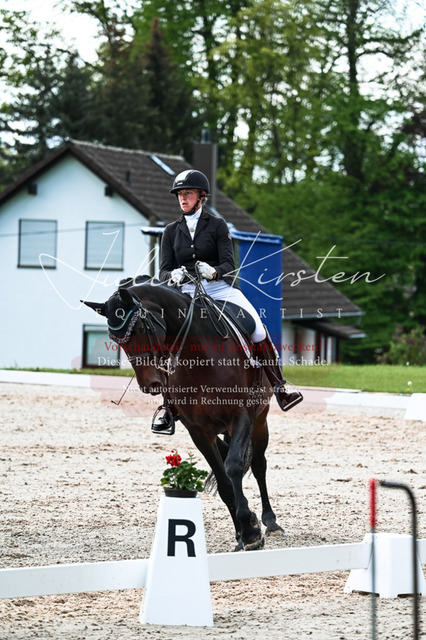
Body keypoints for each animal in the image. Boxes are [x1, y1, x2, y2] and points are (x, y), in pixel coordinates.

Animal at [83, 276, 284, 551]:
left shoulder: (241, 416)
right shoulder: (197, 429)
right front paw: (244, 530)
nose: (150, 385)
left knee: (258, 464)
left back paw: (271, 521)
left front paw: (251, 532)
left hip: (260, 419)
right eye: (117, 340)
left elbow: (233, 466)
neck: (200, 356)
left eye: (141, 328)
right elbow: (224, 481)